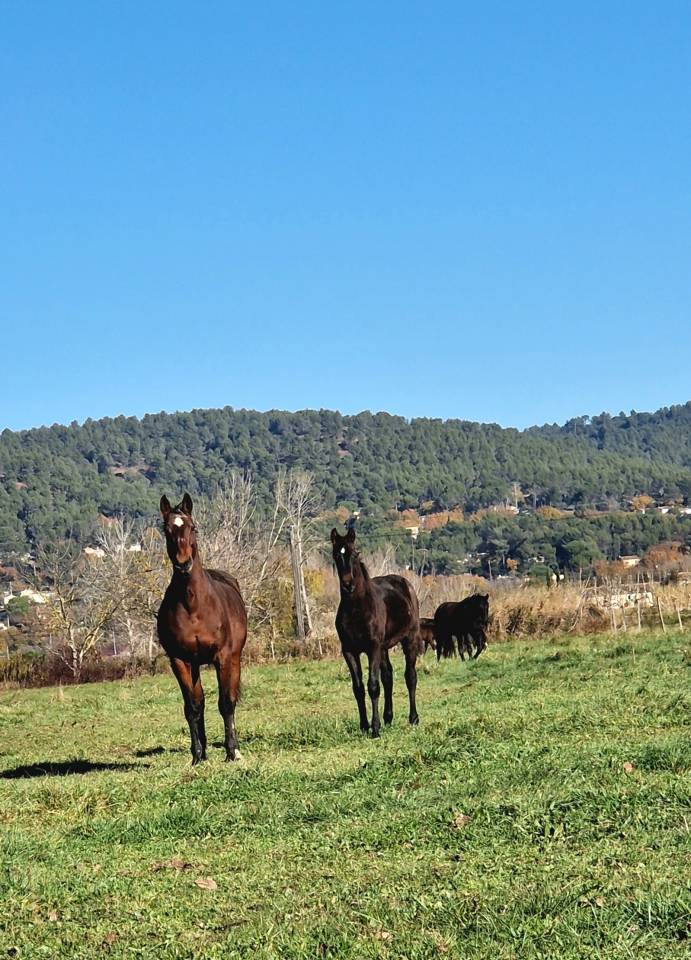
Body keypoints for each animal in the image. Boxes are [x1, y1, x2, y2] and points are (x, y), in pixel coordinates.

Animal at [157, 493, 247, 764]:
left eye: (192, 527)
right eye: (166, 530)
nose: (183, 563)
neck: (193, 604)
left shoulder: (223, 657)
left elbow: (226, 703)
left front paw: (231, 752)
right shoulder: (180, 661)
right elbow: (193, 707)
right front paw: (197, 756)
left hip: (235, 659)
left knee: (230, 698)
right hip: (195, 665)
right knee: (200, 701)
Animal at [331, 527, 422, 737]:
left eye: (355, 554)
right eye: (336, 555)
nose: (348, 584)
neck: (356, 608)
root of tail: (406, 584)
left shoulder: (372, 647)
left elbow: (373, 685)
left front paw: (375, 729)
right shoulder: (349, 651)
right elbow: (358, 688)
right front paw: (364, 726)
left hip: (409, 639)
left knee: (410, 676)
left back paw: (413, 718)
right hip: (384, 647)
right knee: (388, 676)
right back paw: (388, 717)